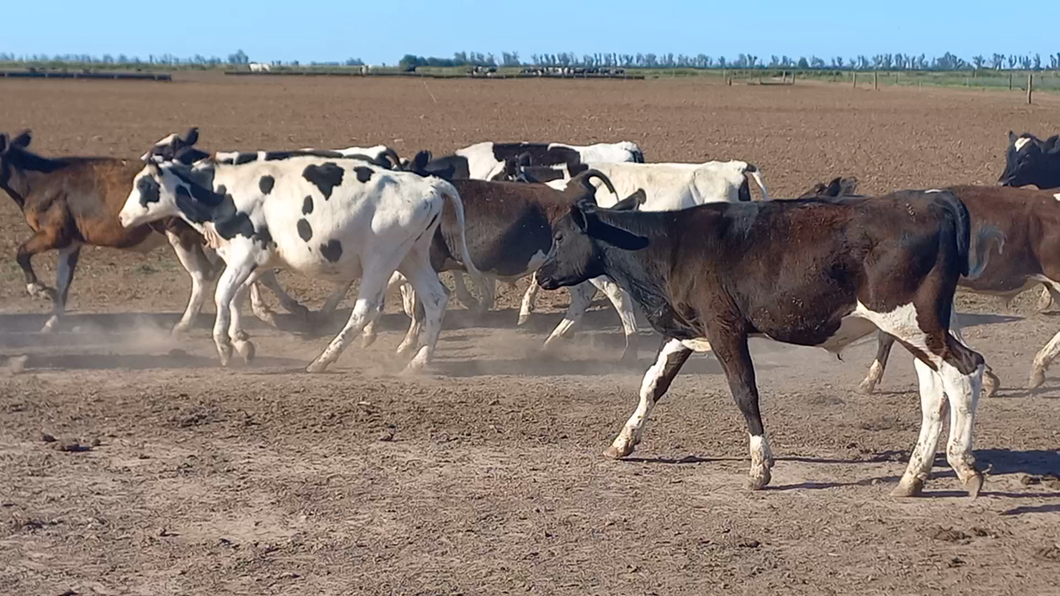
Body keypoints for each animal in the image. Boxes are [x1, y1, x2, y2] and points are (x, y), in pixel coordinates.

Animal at [117, 151, 481, 371]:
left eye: (145, 185)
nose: (122, 217)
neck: (224, 191)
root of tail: (427, 183)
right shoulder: (255, 260)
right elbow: (237, 296)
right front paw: (242, 342)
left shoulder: (245, 253)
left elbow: (223, 295)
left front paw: (224, 347)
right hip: (411, 257)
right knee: (436, 299)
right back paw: (418, 361)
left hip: (381, 260)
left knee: (365, 310)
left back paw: (323, 360)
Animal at [538, 189, 992, 496]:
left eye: (559, 237)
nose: (541, 275)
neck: (672, 243)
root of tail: (934, 199)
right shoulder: (687, 331)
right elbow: (653, 384)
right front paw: (623, 442)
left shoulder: (724, 328)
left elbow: (745, 393)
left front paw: (760, 467)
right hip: (919, 329)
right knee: (936, 391)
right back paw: (913, 477)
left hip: (912, 322)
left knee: (964, 370)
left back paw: (964, 465)